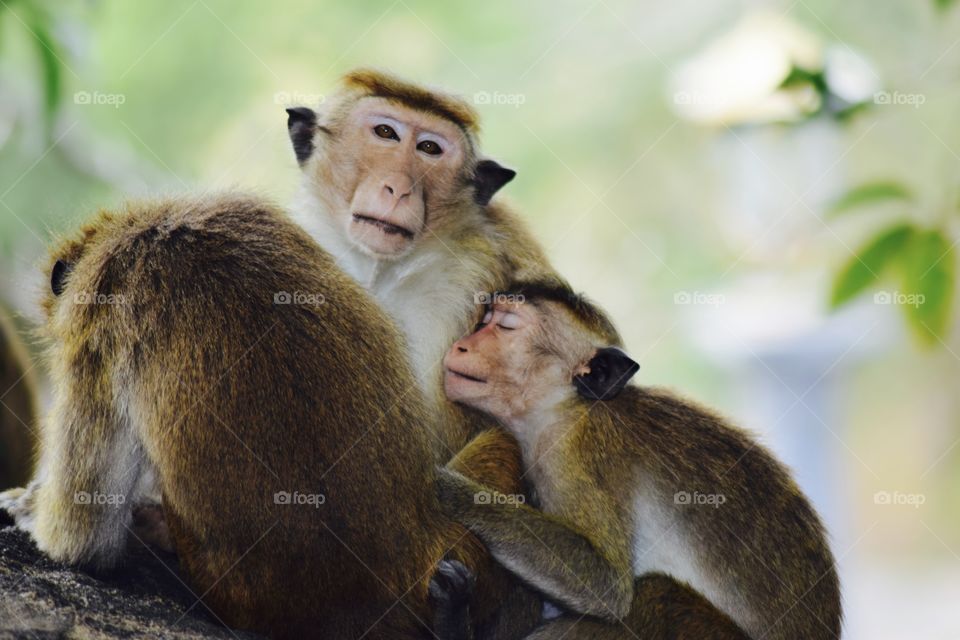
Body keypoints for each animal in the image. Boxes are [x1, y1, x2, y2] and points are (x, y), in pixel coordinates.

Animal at [433, 277, 842, 640]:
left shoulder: (575, 452)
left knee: (658, 594)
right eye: (483, 323)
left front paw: (446, 488)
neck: (568, 405)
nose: (461, 346)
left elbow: (607, 588)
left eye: (505, 327)